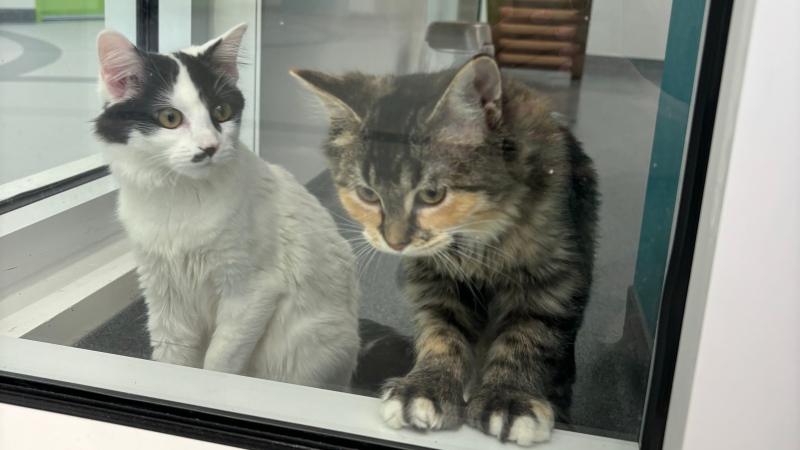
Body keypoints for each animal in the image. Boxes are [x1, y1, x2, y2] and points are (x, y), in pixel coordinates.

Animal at [94, 24, 360, 390]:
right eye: (169, 117)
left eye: (221, 112)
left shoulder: (251, 292)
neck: (178, 200)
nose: (209, 147)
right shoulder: (164, 294)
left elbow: (220, 361)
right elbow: (172, 359)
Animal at [290, 54, 596, 444]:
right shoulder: (433, 279)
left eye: (432, 194)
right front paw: (427, 388)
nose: (395, 241)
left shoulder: (553, 277)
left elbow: (526, 337)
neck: (479, 240)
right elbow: (442, 333)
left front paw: (508, 398)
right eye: (368, 194)